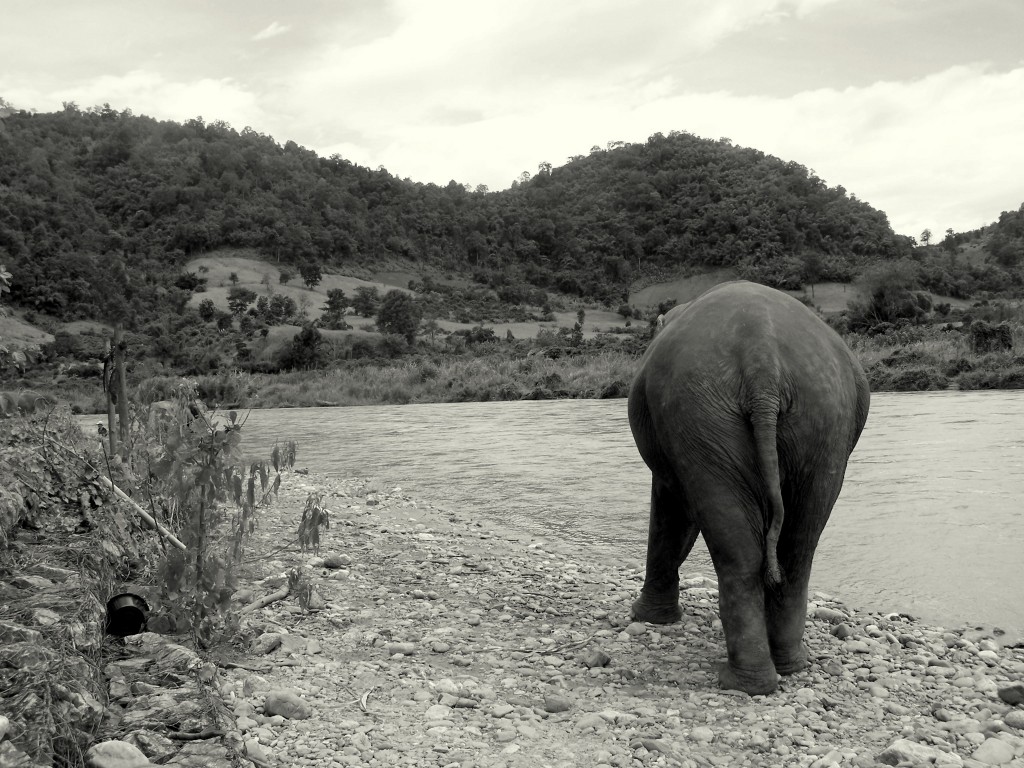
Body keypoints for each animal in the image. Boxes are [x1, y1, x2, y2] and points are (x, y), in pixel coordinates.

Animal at [628, 281, 869, 695]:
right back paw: (785, 667)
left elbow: (671, 508)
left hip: (707, 413)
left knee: (743, 550)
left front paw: (646, 617)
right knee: (795, 547)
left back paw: (745, 681)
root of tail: (762, 358)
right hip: (814, 419)